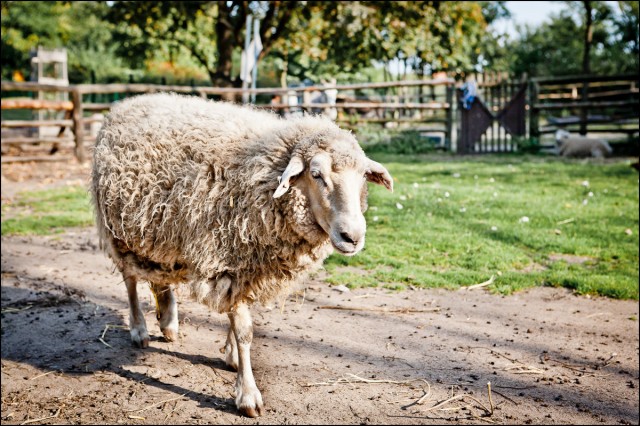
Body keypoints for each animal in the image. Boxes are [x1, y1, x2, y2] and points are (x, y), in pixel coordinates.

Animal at [90, 92, 393, 418]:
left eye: (363, 176)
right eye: (316, 174)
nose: (353, 237)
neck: (263, 176)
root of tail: (132, 101)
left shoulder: (249, 263)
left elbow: (239, 321)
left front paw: (231, 355)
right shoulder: (228, 260)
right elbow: (245, 330)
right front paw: (247, 394)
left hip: (159, 226)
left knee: (160, 274)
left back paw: (168, 321)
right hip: (119, 231)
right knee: (131, 281)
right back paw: (139, 329)